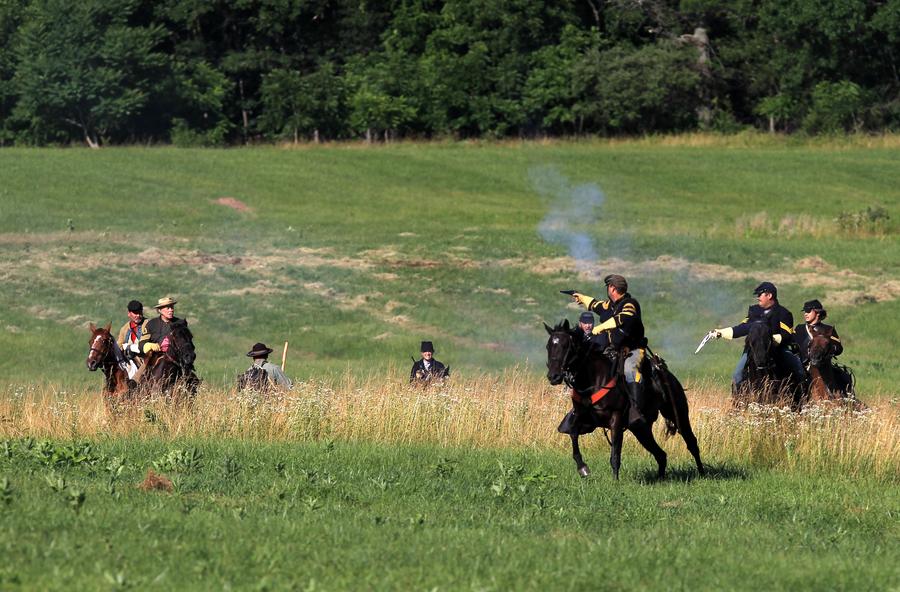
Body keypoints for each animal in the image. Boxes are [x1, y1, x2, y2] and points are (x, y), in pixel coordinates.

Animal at [544, 320, 708, 480]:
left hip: (677, 415)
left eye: (566, 346)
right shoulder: (582, 418)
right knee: (661, 455)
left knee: (691, 442)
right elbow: (573, 434)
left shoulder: (616, 419)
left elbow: (615, 453)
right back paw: (661, 478)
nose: (553, 376)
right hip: (640, 429)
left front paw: (615, 481)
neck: (594, 380)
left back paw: (702, 473)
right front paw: (582, 467)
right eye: (548, 346)